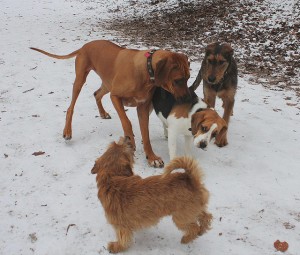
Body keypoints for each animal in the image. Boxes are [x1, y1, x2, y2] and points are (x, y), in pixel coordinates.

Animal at [29, 39, 190, 167]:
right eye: (178, 80)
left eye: (188, 77)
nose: (187, 99)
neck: (145, 70)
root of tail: (84, 46)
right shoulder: (116, 97)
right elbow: (126, 122)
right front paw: (130, 141)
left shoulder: (143, 107)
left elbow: (146, 134)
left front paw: (151, 157)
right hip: (81, 79)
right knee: (71, 107)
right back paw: (67, 131)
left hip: (107, 83)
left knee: (96, 94)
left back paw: (102, 113)